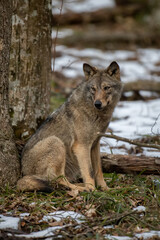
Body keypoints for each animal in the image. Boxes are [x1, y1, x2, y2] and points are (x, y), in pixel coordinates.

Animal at [16, 61, 122, 192]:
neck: (96, 114)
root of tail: (24, 173)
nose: (97, 103)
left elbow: (98, 171)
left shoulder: (95, 145)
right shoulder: (82, 147)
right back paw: (82, 189)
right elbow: (89, 172)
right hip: (56, 142)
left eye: (106, 88)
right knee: (58, 180)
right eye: (93, 89)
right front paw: (92, 190)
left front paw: (105, 189)